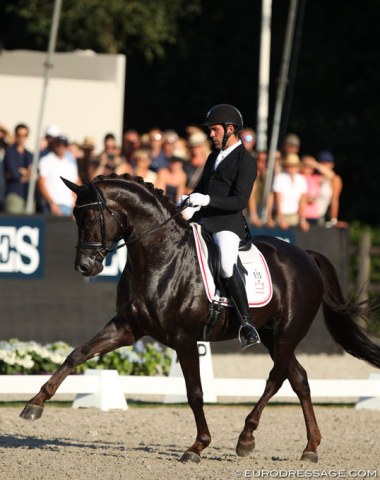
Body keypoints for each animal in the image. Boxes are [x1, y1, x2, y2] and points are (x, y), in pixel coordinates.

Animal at [20, 174, 380, 464]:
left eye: (94, 215)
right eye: (75, 216)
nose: (84, 267)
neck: (159, 256)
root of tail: (305, 255)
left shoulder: (184, 338)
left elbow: (194, 391)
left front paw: (197, 446)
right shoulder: (127, 328)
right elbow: (78, 353)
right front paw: (34, 405)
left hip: (287, 333)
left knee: (277, 378)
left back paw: (246, 438)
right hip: (271, 336)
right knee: (299, 378)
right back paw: (310, 448)